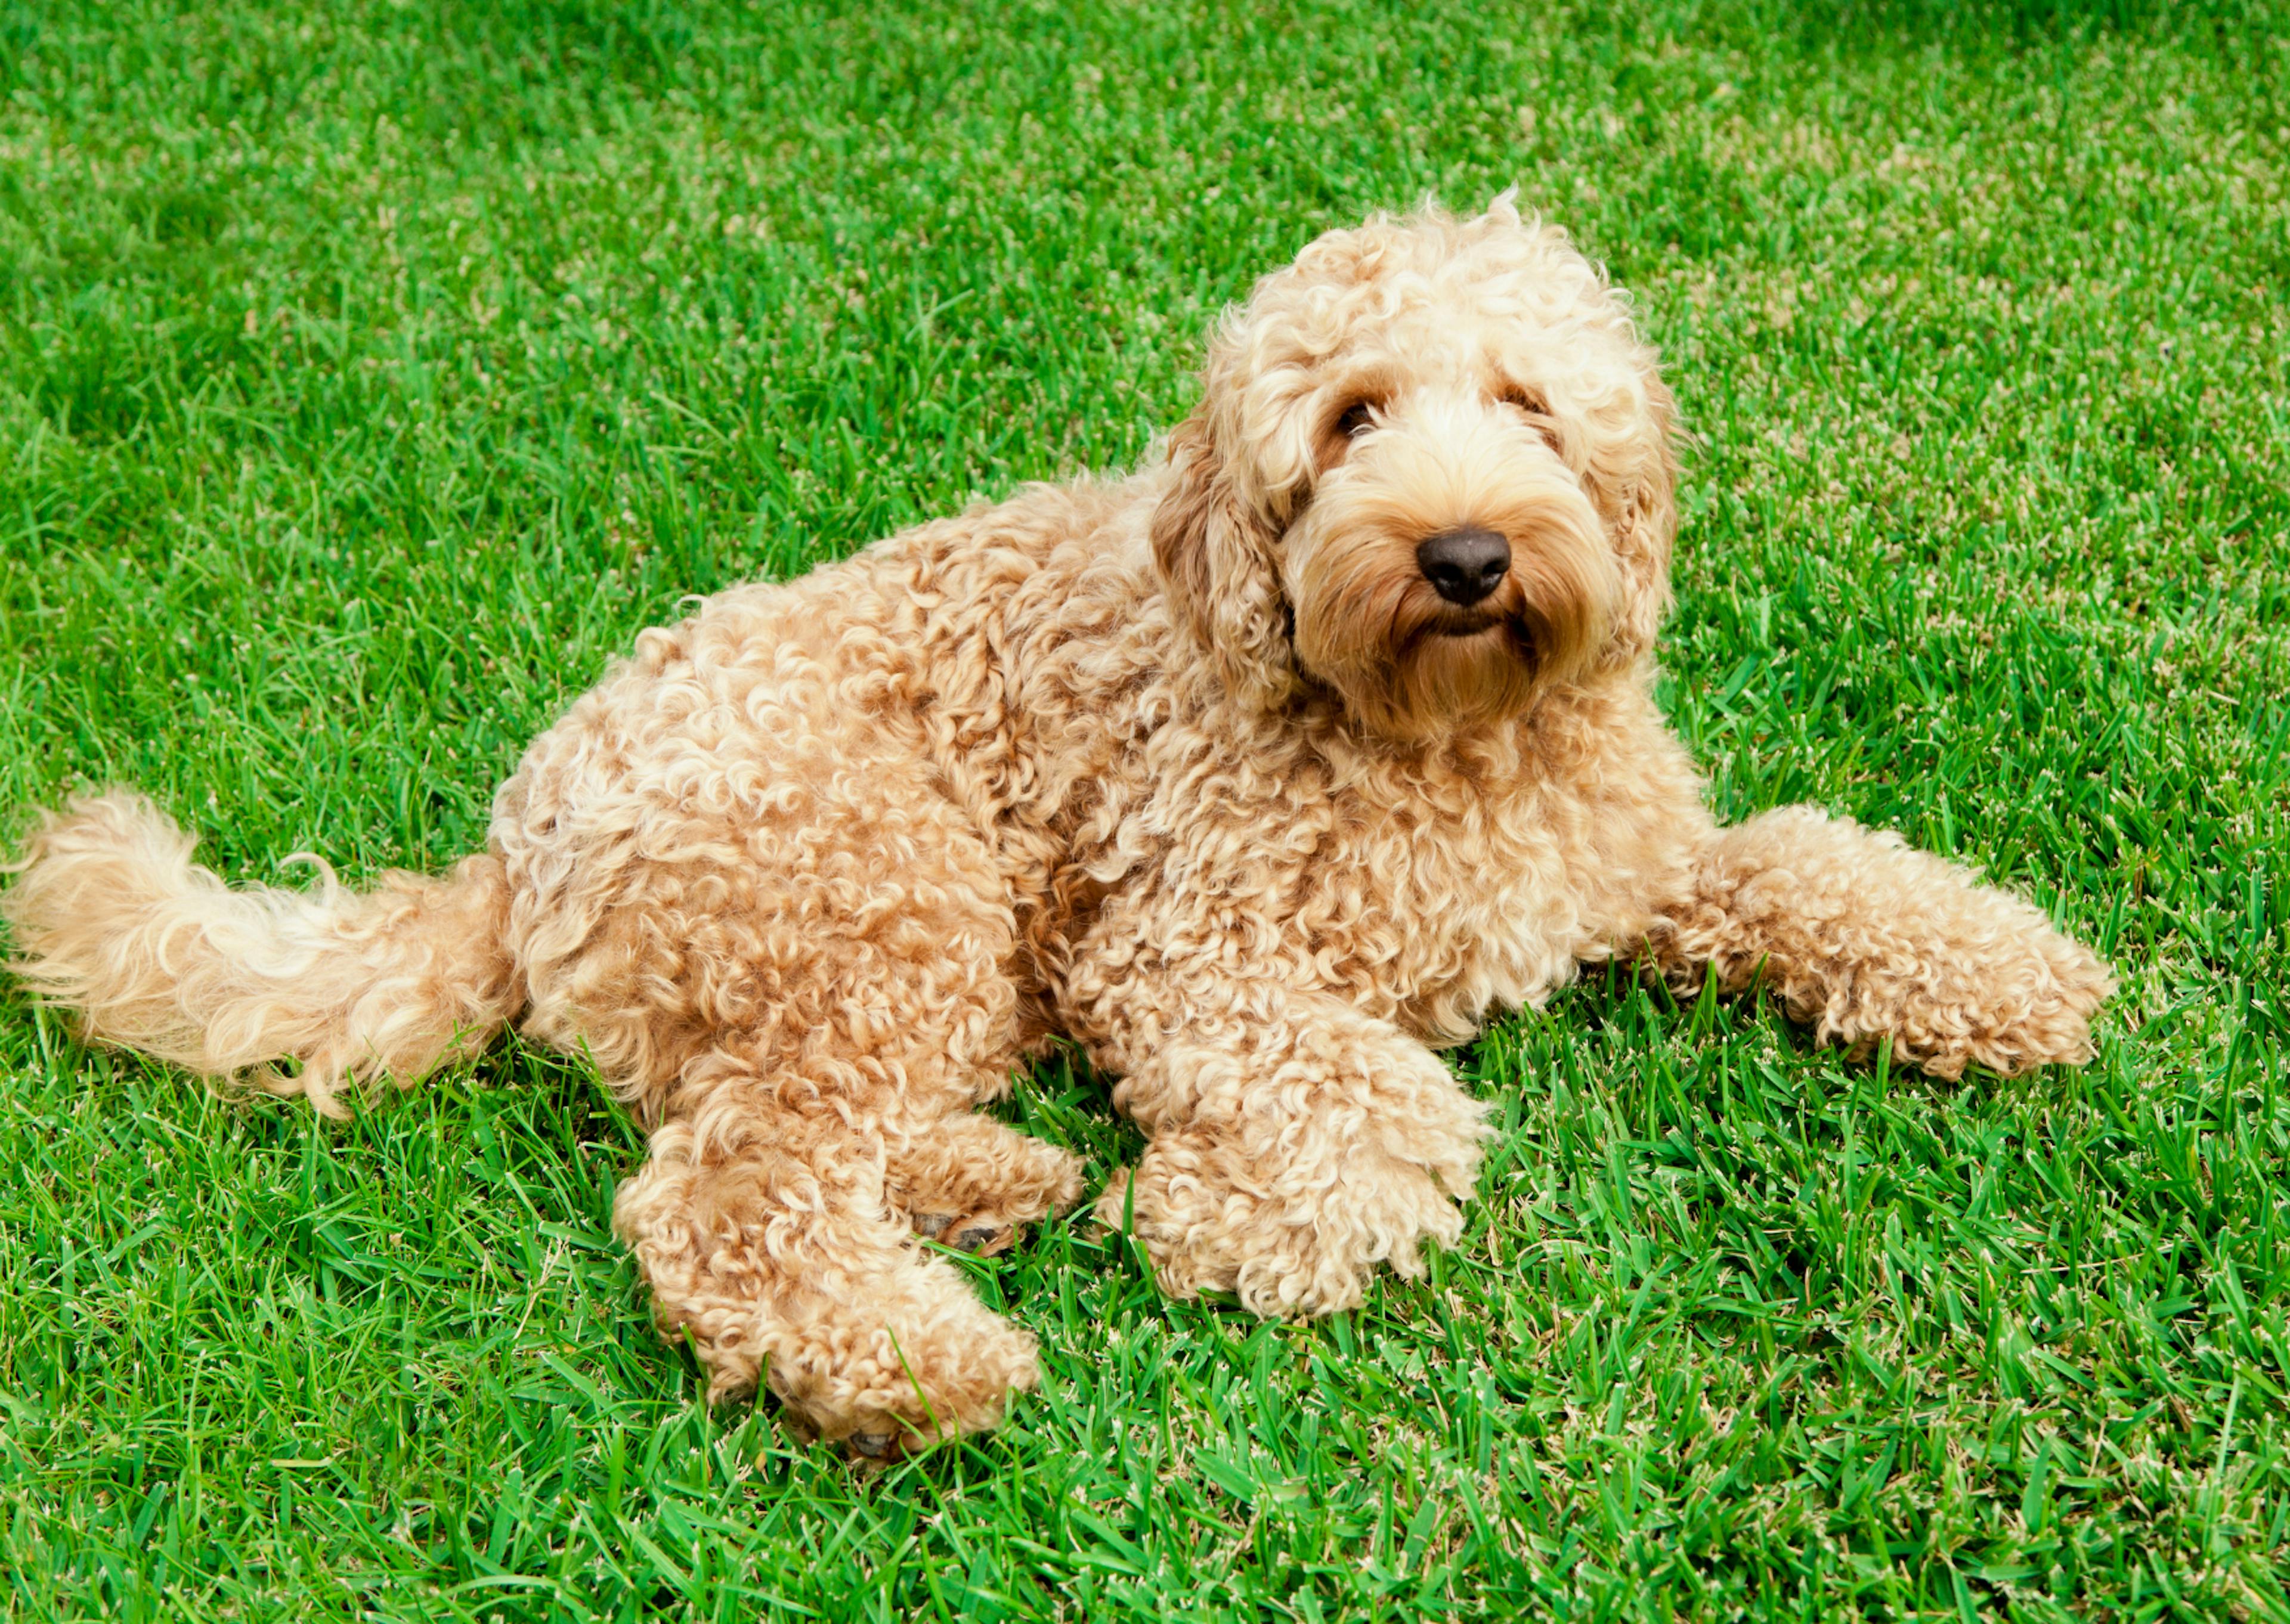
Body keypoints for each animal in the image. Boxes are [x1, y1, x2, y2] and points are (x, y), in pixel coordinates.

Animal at [0, 196, 2106, 1448]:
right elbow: (1376, 1090)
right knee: (724, 1190)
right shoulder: (1176, 945)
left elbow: (1811, 860)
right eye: (1349, 417)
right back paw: (920, 1357)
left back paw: (995, 1183)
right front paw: (1235, 1215)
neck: (1436, 736)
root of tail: (518, 832)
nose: (1463, 552)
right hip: (884, 887)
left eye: (1527, 401)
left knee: (767, 1127)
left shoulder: (1631, 861)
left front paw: (2003, 966)